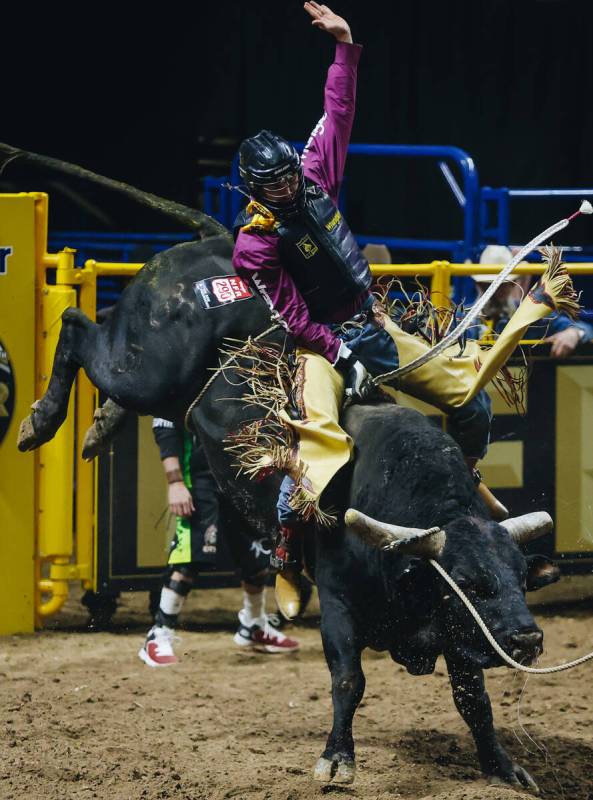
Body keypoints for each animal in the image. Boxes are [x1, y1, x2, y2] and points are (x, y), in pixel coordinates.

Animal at [19, 234, 560, 792]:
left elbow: (473, 699)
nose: (527, 638)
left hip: (159, 386)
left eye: (520, 578)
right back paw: (41, 420)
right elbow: (349, 680)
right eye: (470, 584)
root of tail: (210, 244)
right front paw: (337, 759)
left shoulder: (454, 630)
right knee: (77, 326)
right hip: (145, 368)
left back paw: (99, 425)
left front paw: (503, 766)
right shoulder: (341, 602)